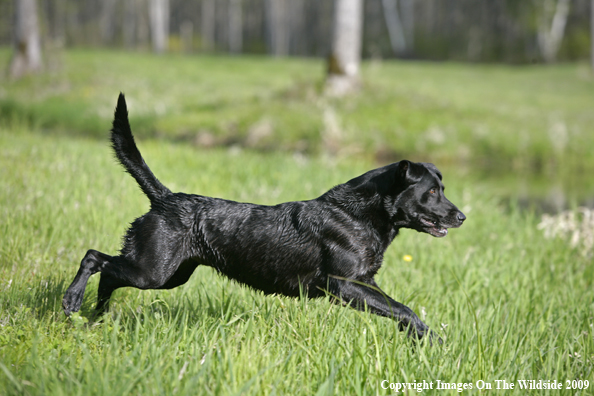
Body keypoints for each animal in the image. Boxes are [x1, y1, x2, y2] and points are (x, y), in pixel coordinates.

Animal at [62, 94, 464, 342]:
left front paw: (425, 339)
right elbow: (404, 309)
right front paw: (431, 341)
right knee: (96, 259)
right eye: (431, 192)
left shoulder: (363, 283)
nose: (461, 216)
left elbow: (404, 310)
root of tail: (164, 198)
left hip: (171, 274)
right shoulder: (345, 285)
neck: (358, 214)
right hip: (153, 269)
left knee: (109, 273)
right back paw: (72, 302)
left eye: (441, 188)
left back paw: (96, 316)